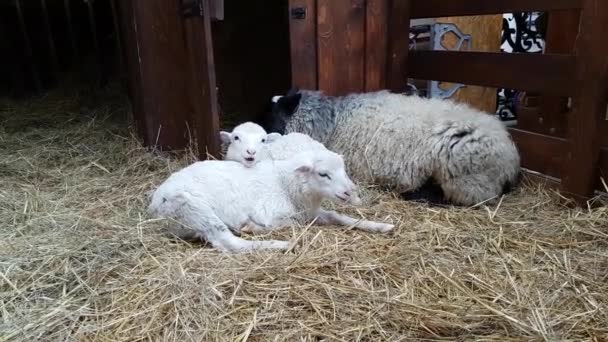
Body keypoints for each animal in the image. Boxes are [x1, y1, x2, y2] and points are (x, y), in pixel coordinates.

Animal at [147, 148, 394, 252]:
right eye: (323, 174)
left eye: (344, 169)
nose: (349, 192)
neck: (286, 183)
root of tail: (153, 207)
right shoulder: (272, 213)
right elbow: (291, 223)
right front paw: (253, 226)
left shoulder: (311, 212)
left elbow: (337, 216)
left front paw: (381, 226)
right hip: (192, 207)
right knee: (228, 242)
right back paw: (284, 244)